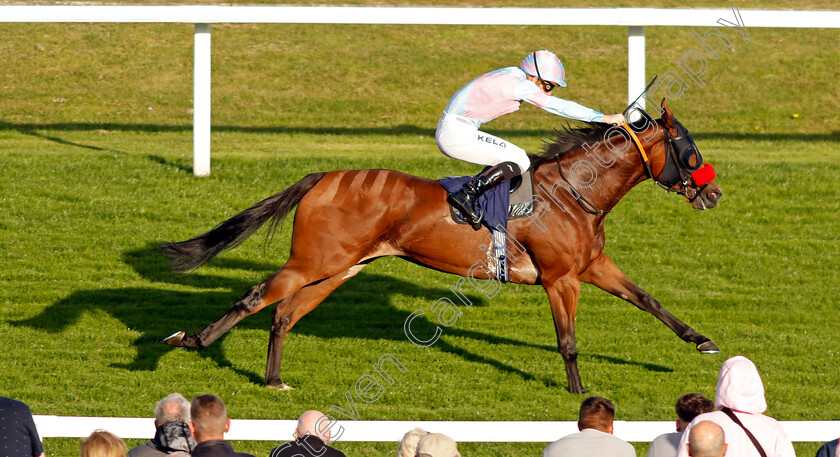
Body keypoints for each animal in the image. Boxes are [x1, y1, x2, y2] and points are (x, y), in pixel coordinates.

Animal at [162, 102, 720, 392]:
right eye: (690, 151)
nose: (713, 192)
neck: (573, 192)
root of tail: (323, 176)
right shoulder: (561, 278)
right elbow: (568, 341)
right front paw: (580, 395)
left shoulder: (592, 264)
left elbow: (648, 299)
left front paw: (702, 340)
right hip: (313, 260)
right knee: (257, 296)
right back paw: (191, 340)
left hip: (340, 268)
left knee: (284, 314)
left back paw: (273, 379)